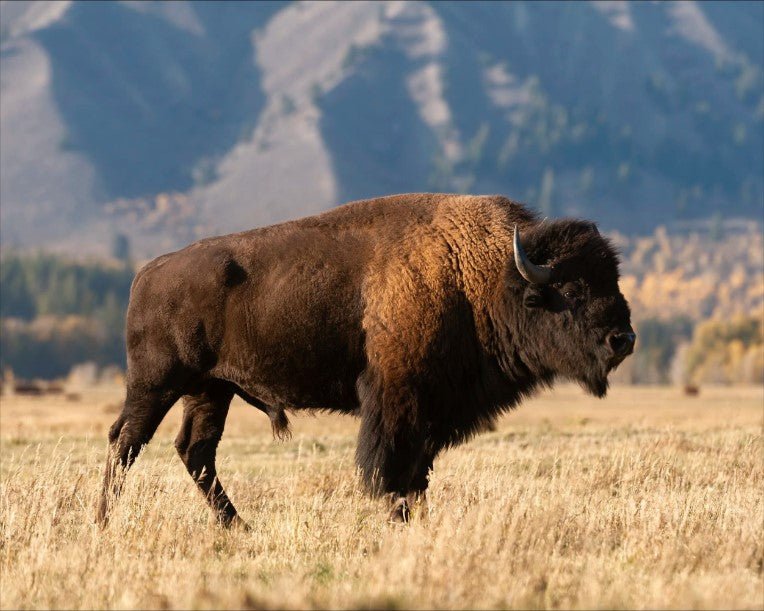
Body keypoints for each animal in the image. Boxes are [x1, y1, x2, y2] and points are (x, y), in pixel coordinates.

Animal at [97, 193, 635, 526]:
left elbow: (417, 473)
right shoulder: (396, 400)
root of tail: (148, 272)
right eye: (571, 288)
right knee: (126, 441)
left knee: (195, 451)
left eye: (612, 279)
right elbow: (389, 470)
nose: (623, 339)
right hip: (156, 384)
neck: (479, 276)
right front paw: (397, 519)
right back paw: (104, 520)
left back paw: (239, 527)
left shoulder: (430, 412)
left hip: (212, 390)